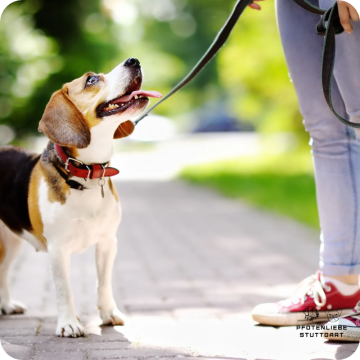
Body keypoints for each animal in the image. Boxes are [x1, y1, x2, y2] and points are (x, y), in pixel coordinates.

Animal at [0, 58, 162, 338]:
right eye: (91, 80)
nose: (134, 60)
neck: (87, 173)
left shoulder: (108, 242)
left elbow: (104, 283)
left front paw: (108, 314)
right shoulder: (57, 249)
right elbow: (64, 290)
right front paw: (69, 323)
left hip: (11, 242)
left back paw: (7, 305)